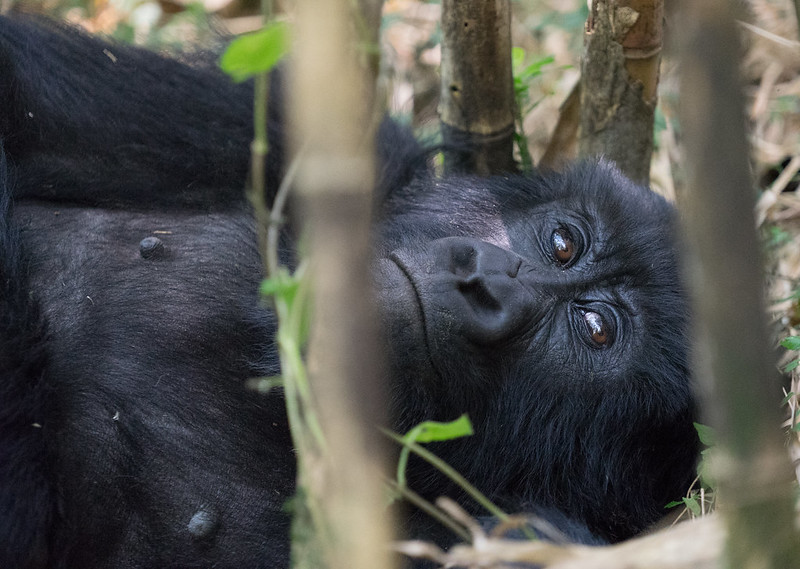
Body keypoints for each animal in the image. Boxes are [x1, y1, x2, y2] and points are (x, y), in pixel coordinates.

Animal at [0, 13, 696, 568]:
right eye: (564, 241)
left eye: (597, 329)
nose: (485, 280)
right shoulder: (292, 129)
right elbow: (20, 89)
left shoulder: (523, 533)